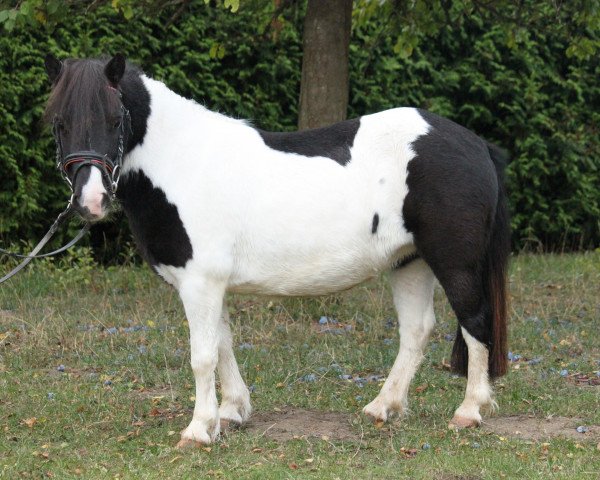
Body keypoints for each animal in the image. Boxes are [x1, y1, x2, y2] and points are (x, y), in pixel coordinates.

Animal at [43, 53, 510, 446]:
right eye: (59, 123)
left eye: (115, 119)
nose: (91, 201)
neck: (182, 162)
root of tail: (478, 145)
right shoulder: (212, 285)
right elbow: (224, 345)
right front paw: (232, 413)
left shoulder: (200, 282)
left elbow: (202, 356)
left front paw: (199, 430)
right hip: (409, 262)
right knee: (416, 330)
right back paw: (382, 407)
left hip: (455, 263)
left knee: (475, 322)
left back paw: (468, 411)